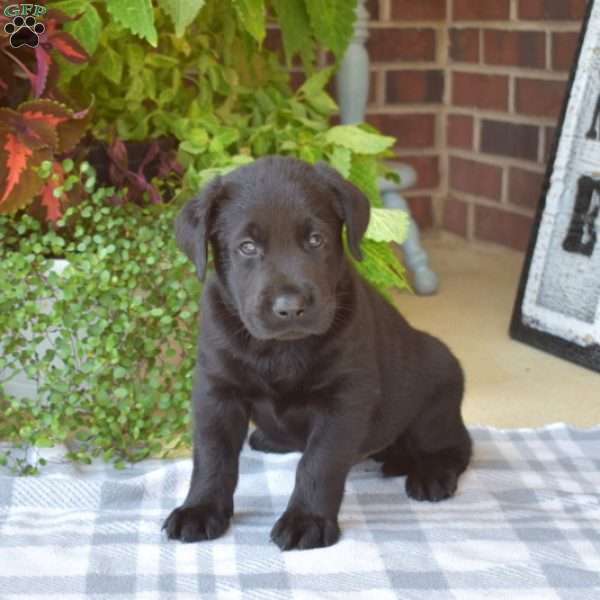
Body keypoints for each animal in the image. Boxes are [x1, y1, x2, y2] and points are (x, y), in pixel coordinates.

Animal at [164, 157, 474, 552]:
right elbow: (212, 454)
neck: (279, 349)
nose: (290, 307)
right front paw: (200, 509)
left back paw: (431, 474)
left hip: (436, 398)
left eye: (316, 240)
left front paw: (306, 520)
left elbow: (318, 462)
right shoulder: (216, 389)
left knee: (457, 445)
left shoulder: (344, 399)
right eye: (247, 247)